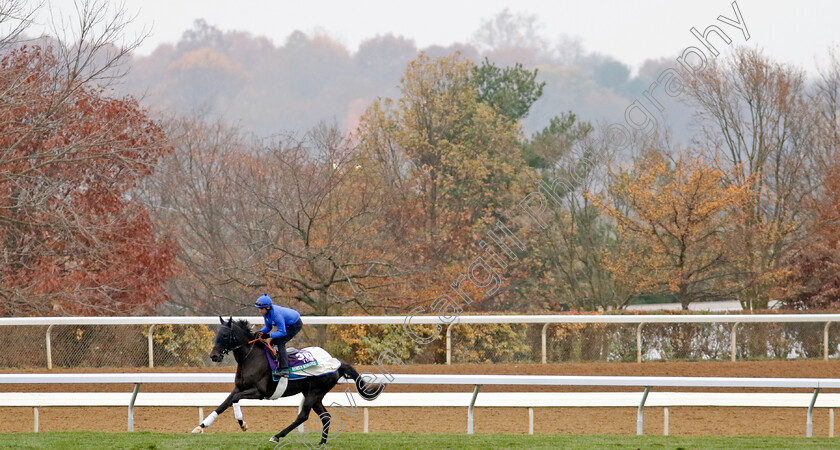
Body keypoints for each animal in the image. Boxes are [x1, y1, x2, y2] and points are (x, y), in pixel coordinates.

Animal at [192, 318, 378, 444]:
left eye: (225, 335)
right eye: (216, 334)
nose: (214, 356)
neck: (250, 358)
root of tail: (337, 363)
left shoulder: (260, 392)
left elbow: (235, 400)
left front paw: (242, 424)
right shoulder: (238, 388)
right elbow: (224, 403)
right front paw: (200, 427)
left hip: (314, 392)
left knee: (303, 416)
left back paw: (277, 436)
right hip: (314, 394)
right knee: (325, 416)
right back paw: (322, 442)